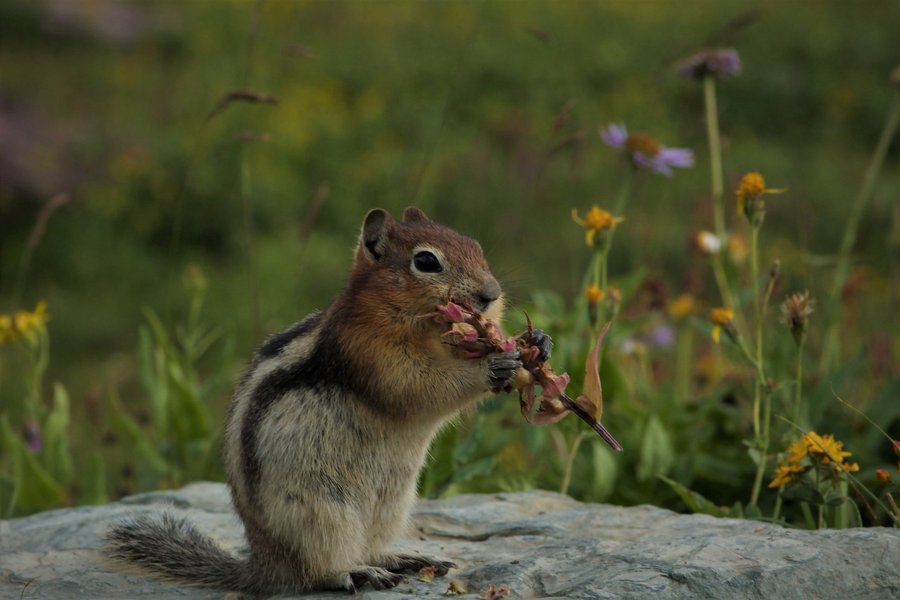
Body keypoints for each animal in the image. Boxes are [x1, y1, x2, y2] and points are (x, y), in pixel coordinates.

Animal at [105, 207, 550, 595]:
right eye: (426, 261)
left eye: (475, 245)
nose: (491, 294)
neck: (425, 329)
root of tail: (265, 565)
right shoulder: (369, 351)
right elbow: (417, 386)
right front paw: (491, 366)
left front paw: (537, 342)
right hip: (321, 513)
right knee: (316, 570)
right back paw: (355, 573)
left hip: (392, 505)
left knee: (371, 544)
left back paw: (400, 559)